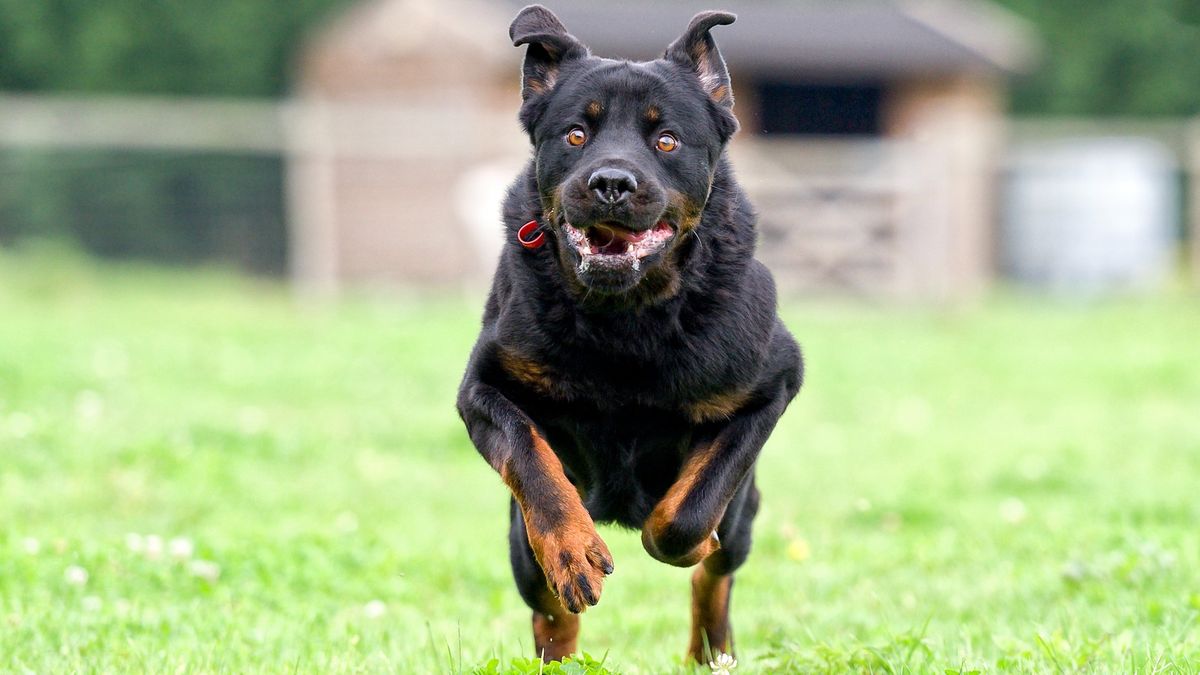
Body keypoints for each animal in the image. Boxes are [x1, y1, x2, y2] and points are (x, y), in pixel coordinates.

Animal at [458, 5, 806, 662]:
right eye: (575, 135)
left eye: (666, 140)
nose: (611, 183)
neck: (626, 315)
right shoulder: (484, 387)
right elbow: (531, 459)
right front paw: (574, 551)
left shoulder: (771, 386)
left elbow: (686, 518)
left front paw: (685, 540)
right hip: (517, 542)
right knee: (546, 603)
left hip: (745, 514)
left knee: (718, 571)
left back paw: (710, 653)